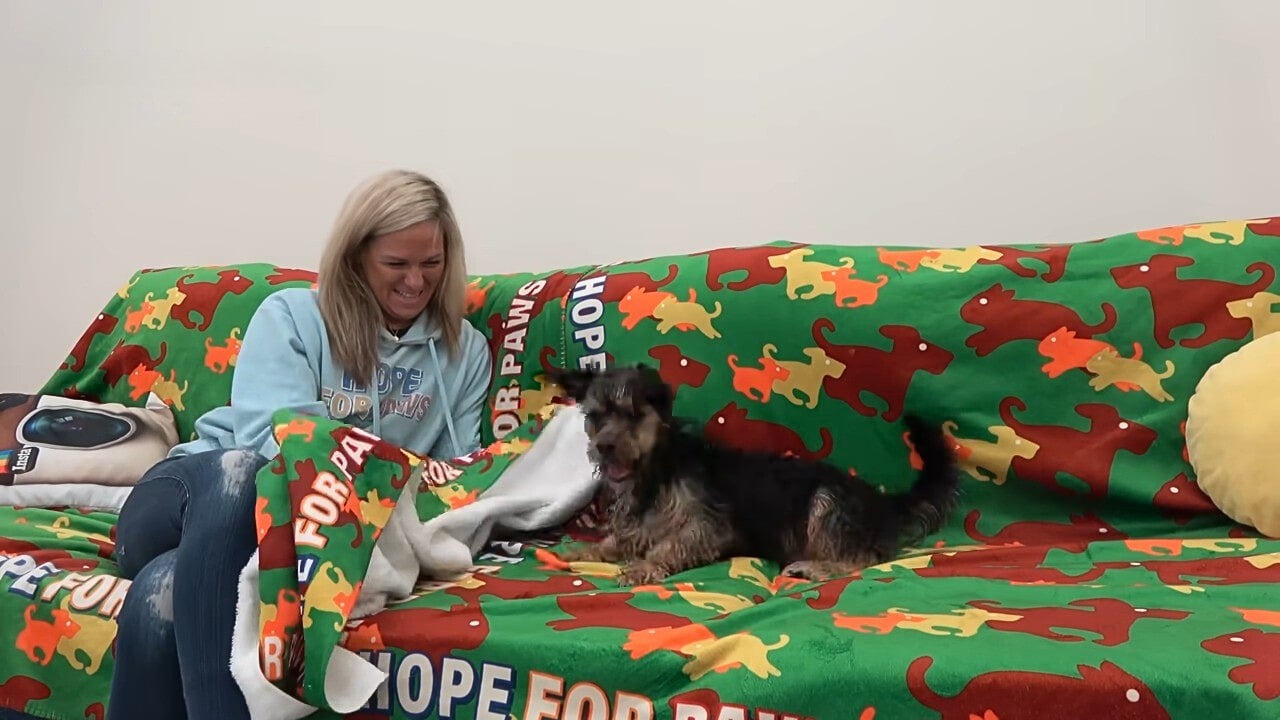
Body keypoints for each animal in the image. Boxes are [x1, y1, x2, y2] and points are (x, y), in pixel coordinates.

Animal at [552, 361, 962, 586]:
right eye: (594, 417)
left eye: (633, 414)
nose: (603, 447)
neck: (656, 470)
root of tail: (882, 501)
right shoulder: (639, 526)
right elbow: (617, 541)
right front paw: (585, 549)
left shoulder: (712, 527)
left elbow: (669, 545)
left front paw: (642, 567)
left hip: (827, 502)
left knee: (864, 559)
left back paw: (813, 568)